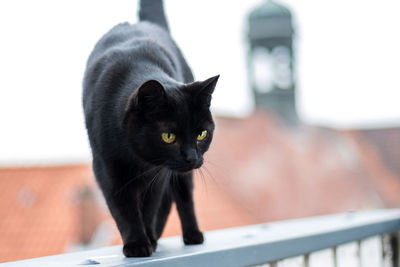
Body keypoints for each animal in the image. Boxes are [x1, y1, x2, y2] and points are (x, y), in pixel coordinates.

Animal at [82, 0, 219, 260]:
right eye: (169, 136)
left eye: (201, 134)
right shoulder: (108, 169)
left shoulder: (158, 174)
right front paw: (136, 244)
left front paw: (146, 240)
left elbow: (149, 207)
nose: (191, 157)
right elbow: (123, 209)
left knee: (181, 196)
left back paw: (189, 235)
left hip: (177, 175)